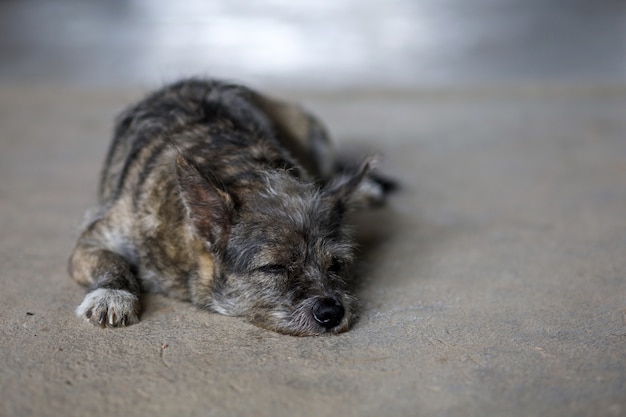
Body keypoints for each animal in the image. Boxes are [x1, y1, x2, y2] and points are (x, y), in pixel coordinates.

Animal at [67, 78, 390, 334]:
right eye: (274, 267)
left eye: (336, 265)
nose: (332, 312)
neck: (239, 169)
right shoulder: (92, 240)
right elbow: (111, 262)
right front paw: (111, 295)